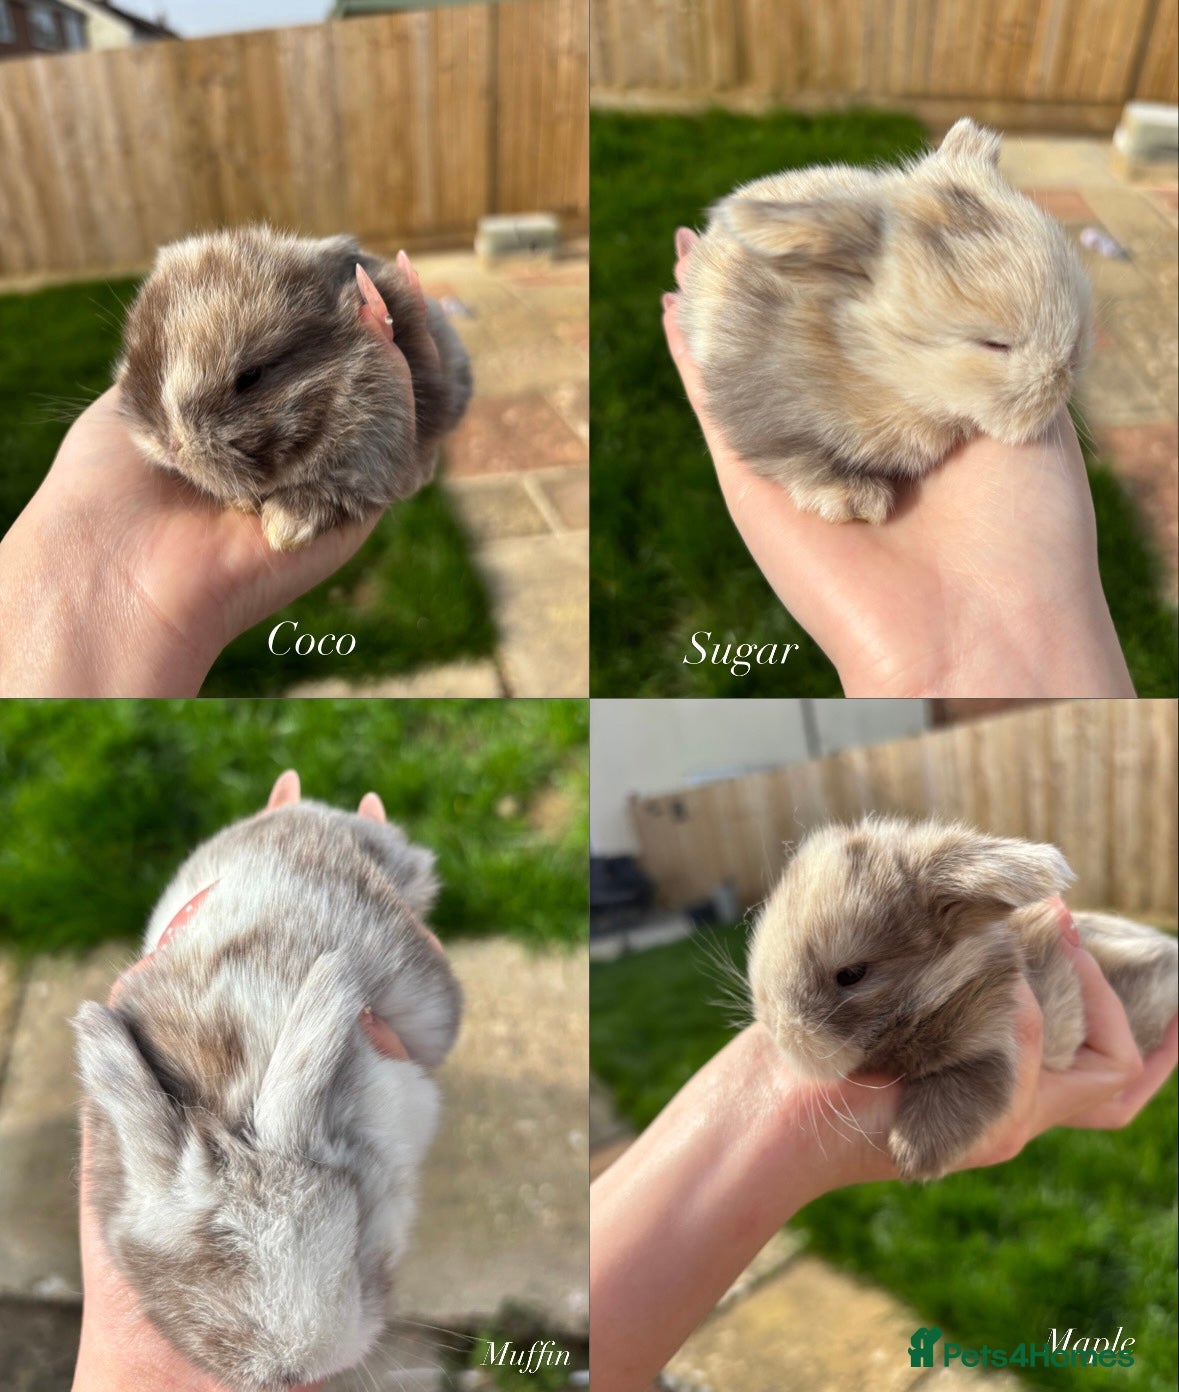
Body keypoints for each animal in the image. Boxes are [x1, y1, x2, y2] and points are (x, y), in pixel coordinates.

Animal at [747, 817, 1177, 1180]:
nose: (777, 1029)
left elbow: (964, 1088)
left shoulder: (991, 1041)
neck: (946, 982)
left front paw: (911, 1157)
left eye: (852, 974)